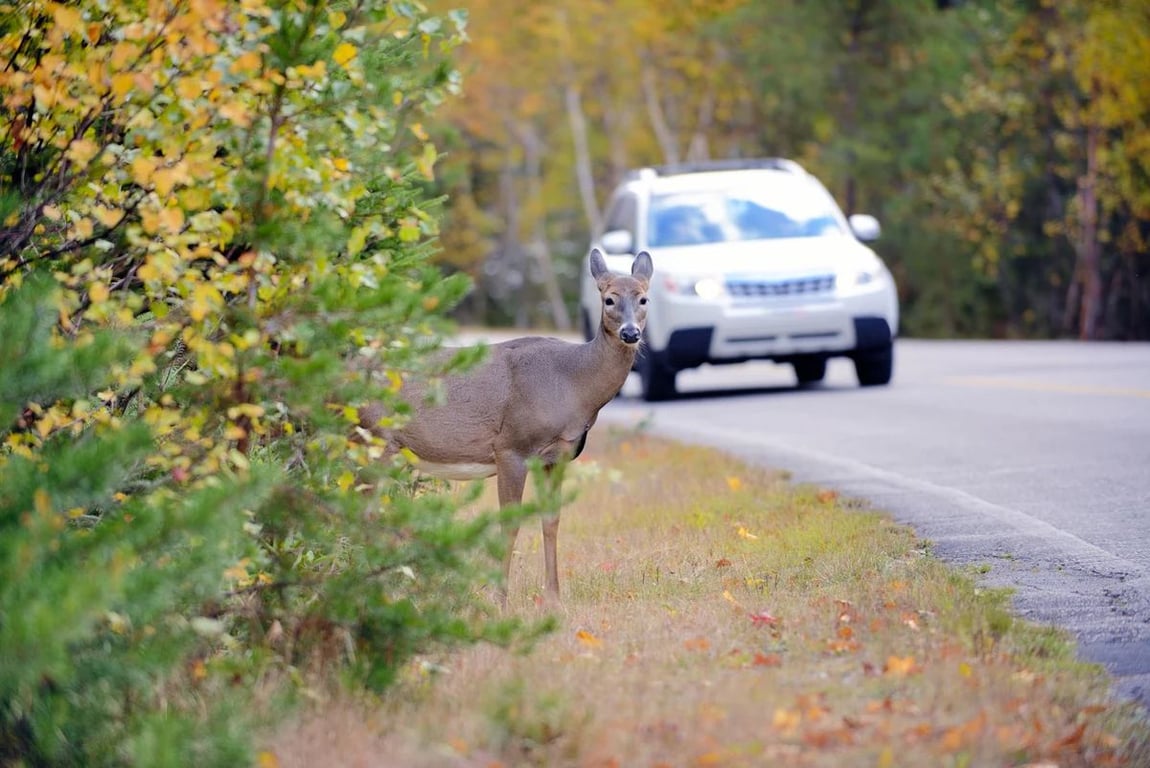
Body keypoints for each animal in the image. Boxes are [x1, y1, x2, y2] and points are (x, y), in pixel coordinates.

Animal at [384, 249, 653, 602]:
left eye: (644, 298)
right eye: (608, 299)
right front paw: (499, 599)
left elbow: (551, 519)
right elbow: (509, 524)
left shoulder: (557, 456)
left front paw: (553, 598)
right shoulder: (512, 446)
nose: (630, 333)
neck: (572, 383)